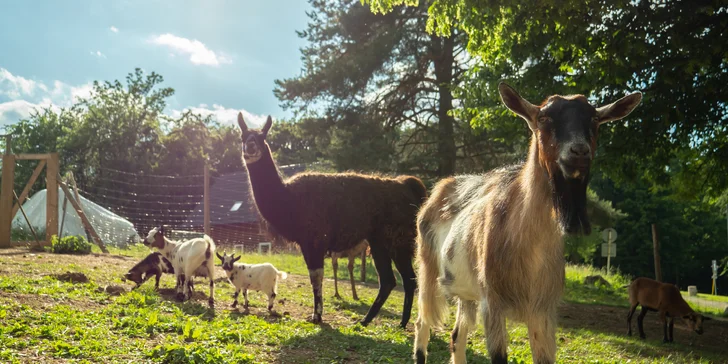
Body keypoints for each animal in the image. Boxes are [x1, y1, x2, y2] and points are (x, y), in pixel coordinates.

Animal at [236, 114, 426, 328]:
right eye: (243, 136)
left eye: (262, 137)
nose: (250, 146)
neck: (289, 199)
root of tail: (406, 185)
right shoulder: (309, 243)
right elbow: (315, 277)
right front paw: (317, 314)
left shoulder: (314, 240)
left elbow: (316, 277)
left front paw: (317, 316)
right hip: (380, 241)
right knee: (390, 280)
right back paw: (370, 321)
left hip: (397, 239)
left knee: (405, 279)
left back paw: (397, 322)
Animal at [412, 82, 640, 364]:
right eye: (543, 118)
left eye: (595, 119)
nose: (579, 151)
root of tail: (439, 190)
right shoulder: (493, 303)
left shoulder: (543, 311)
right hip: (427, 267)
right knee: (422, 321)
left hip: (467, 293)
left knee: (457, 337)